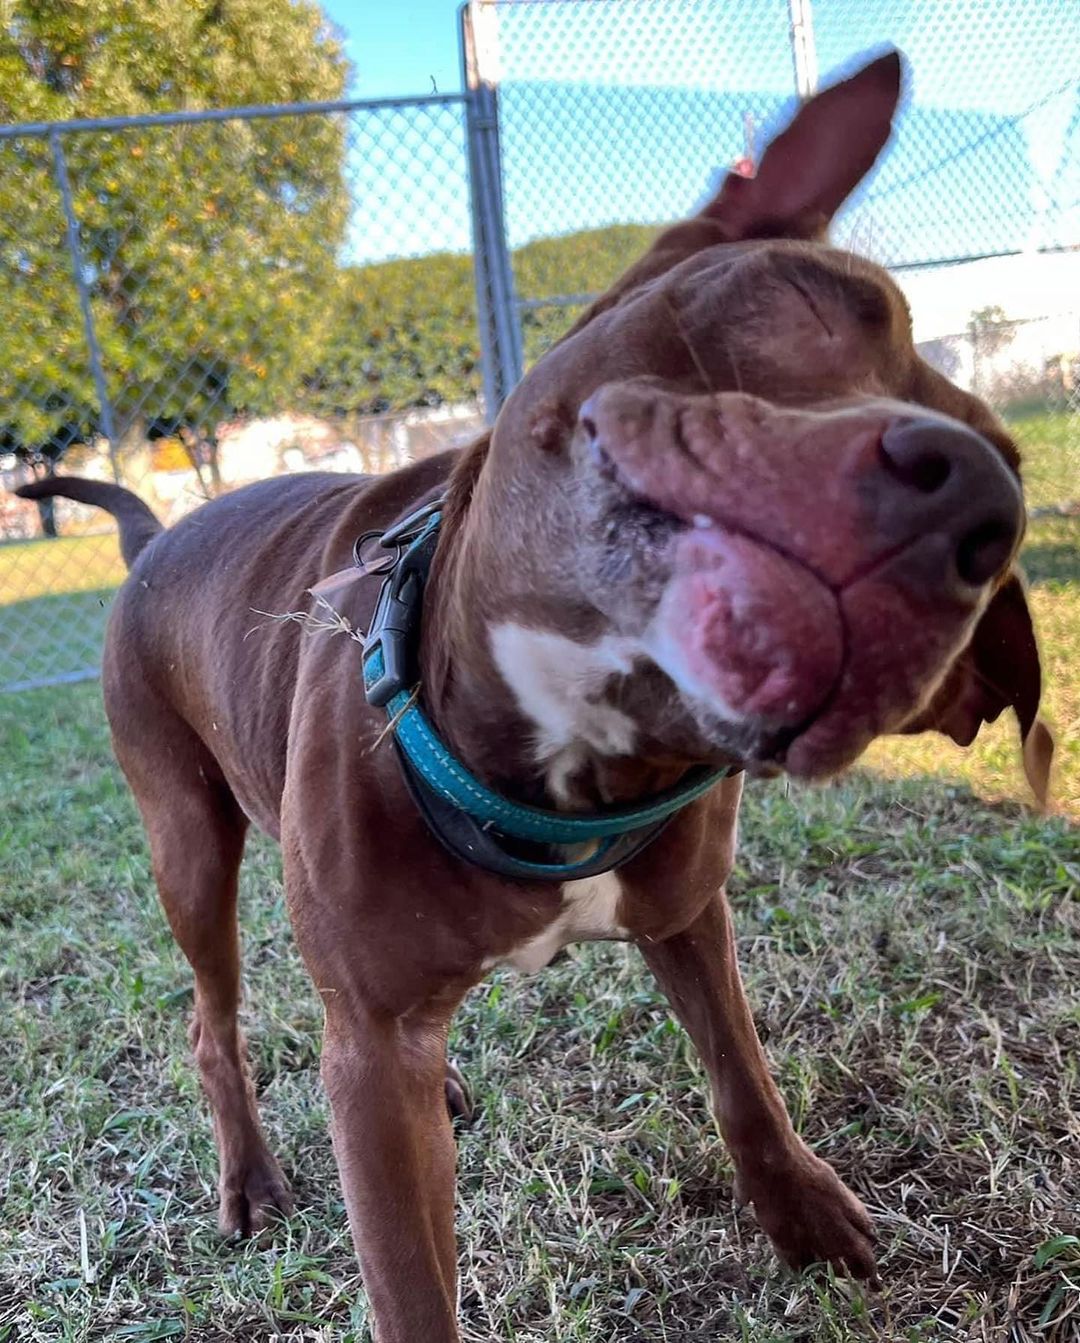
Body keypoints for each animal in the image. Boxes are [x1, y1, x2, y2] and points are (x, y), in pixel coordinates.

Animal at [21, 49, 1053, 1343]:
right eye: (813, 300)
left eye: (1007, 497)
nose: (977, 502)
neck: (568, 765)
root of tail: (157, 533)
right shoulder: (373, 1053)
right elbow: (412, 1285)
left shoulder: (685, 918)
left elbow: (744, 1074)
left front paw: (804, 1210)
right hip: (186, 844)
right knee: (217, 1021)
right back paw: (251, 1175)